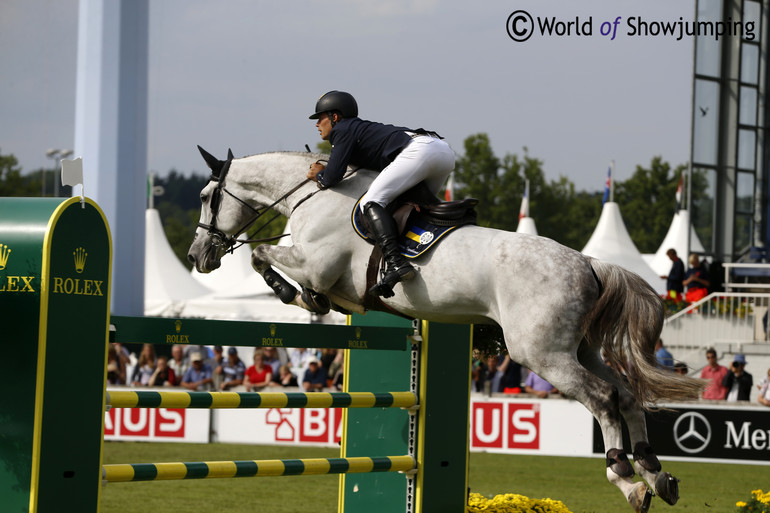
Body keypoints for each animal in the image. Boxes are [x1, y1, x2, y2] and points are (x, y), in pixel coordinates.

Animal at [188, 147, 704, 508]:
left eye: (206, 197)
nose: (197, 257)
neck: (313, 193)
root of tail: (589, 263)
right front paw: (302, 298)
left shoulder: (314, 264)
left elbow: (263, 255)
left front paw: (292, 293)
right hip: (580, 349)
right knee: (627, 395)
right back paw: (656, 475)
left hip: (543, 354)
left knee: (602, 399)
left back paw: (627, 480)